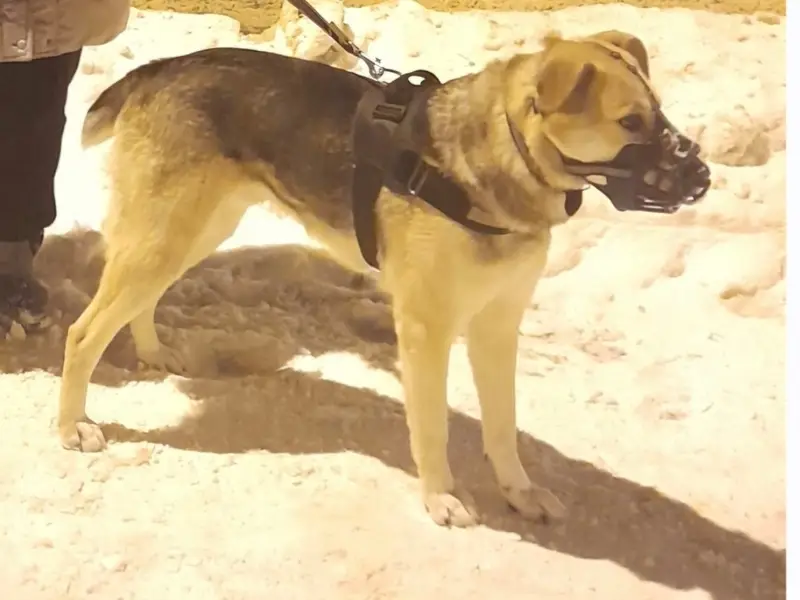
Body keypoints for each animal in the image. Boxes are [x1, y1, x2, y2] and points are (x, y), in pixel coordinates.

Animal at [57, 29, 704, 528]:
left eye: (659, 111)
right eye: (630, 121)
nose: (702, 177)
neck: (494, 164)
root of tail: (163, 68)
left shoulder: (498, 327)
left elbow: (504, 427)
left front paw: (518, 493)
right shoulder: (427, 329)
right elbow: (433, 427)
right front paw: (441, 499)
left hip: (192, 233)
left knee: (139, 302)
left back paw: (150, 351)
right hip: (167, 236)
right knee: (83, 333)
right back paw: (73, 427)